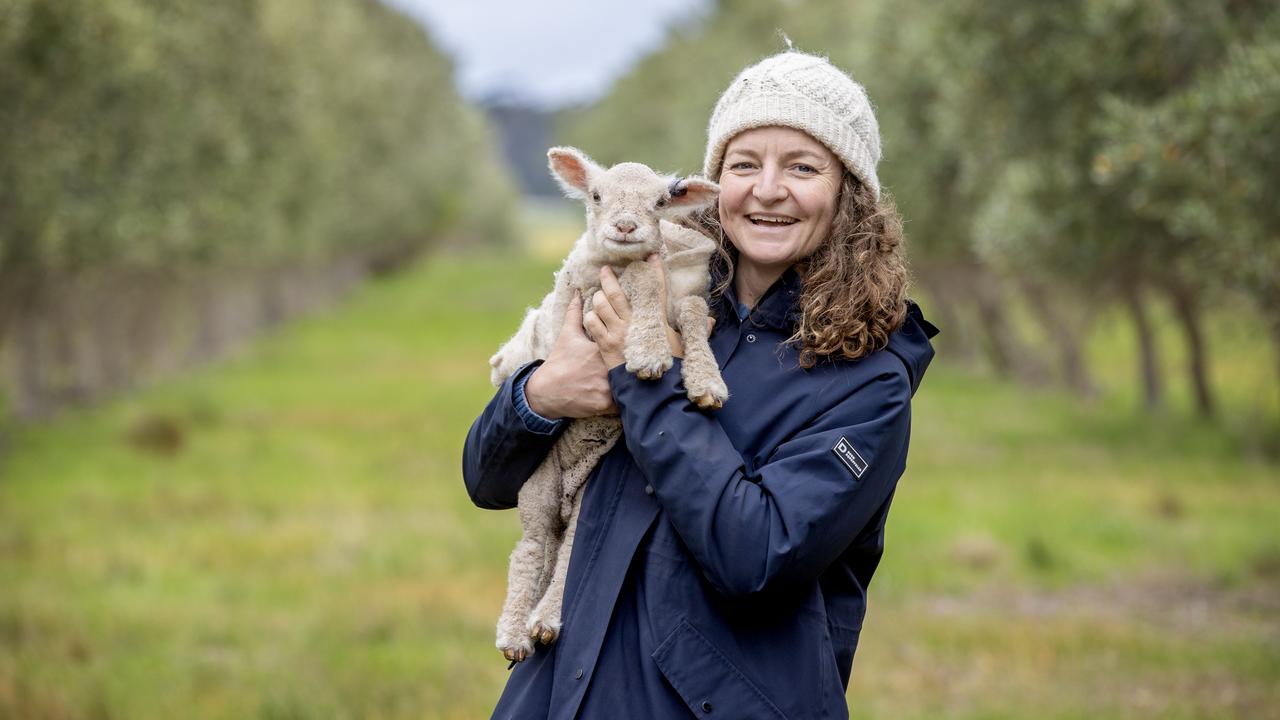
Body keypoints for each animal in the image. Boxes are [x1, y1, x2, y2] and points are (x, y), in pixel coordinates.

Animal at [488, 146, 732, 661]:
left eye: (661, 203)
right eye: (597, 195)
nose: (624, 226)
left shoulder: (680, 299)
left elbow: (692, 310)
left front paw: (705, 380)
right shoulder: (586, 290)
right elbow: (643, 277)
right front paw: (650, 352)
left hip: (587, 486)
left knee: (570, 550)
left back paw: (545, 621)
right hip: (538, 484)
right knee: (530, 549)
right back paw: (516, 632)